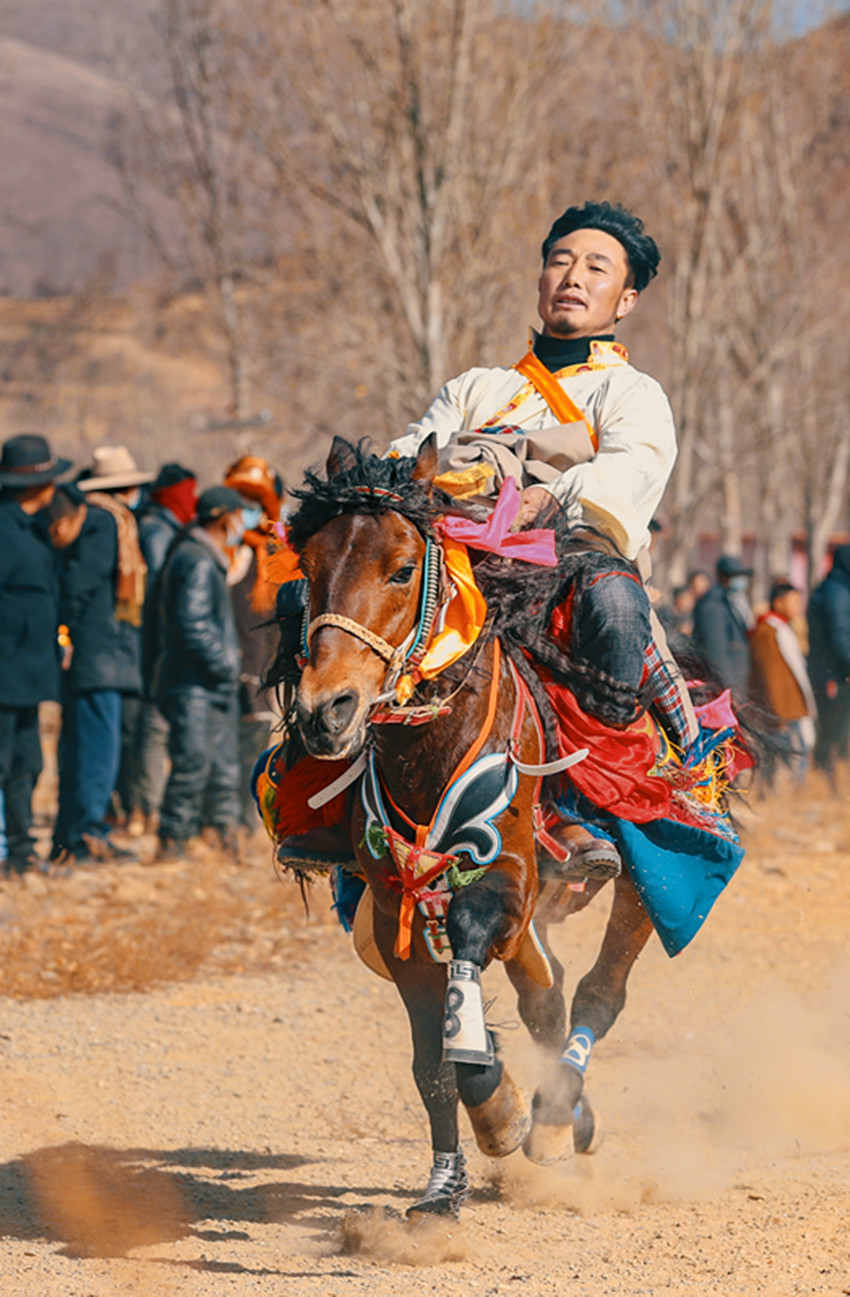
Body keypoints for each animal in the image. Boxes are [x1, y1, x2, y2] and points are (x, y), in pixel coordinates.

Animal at [263, 435, 667, 1216]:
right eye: (309, 571)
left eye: (400, 568)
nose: (326, 712)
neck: (430, 746)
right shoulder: (395, 903)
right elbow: (433, 1059)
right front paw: (448, 1181)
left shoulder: (505, 877)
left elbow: (467, 992)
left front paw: (501, 1106)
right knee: (546, 991)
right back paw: (559, 1114)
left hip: (640, 877)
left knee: (598, 989)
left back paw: (559, 1111)